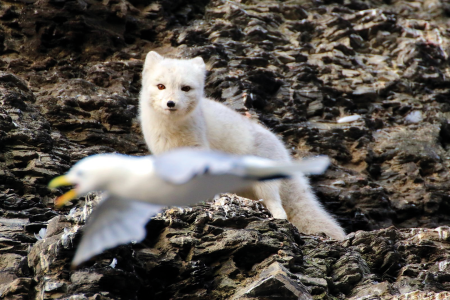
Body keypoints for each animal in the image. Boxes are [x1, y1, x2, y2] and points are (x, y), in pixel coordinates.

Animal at [139, 51, 346, 239]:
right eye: (161, 86)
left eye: (185, 88)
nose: (171, 103)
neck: (172, 130)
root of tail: (284, 151)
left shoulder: (199, 150)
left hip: (265, 182)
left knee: (279, 207)